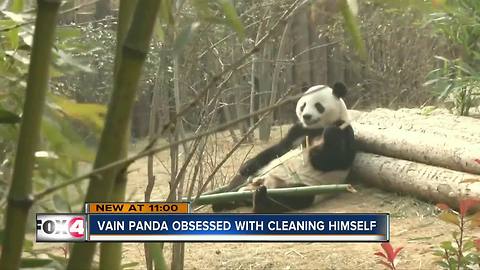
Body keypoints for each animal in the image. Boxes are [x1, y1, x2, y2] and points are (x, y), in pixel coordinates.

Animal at [212, 82, 354, 213]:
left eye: (318, 106)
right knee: (238, 181)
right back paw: (223, 201)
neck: (317, 128)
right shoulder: (298, 131)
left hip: (307, 186)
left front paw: (328, 135)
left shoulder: (344, 130)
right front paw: (247, 165)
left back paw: (260, 202)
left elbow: (334, 159)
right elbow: (278, 149)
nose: (306, 116)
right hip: (258, 173)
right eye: (303, 105)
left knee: (293, 197)